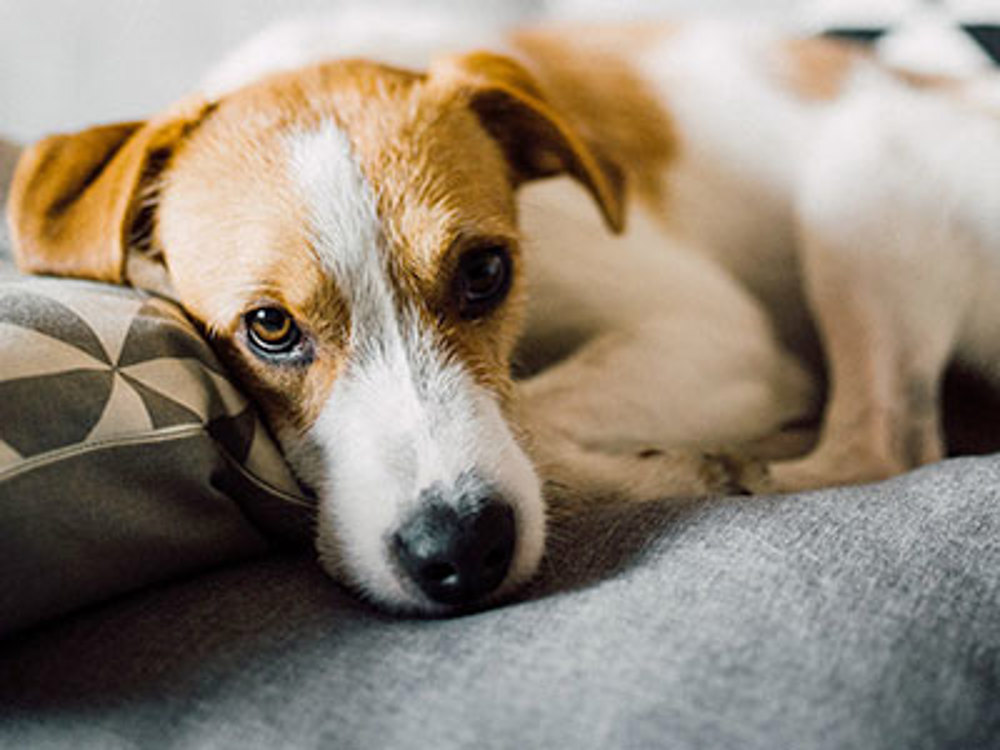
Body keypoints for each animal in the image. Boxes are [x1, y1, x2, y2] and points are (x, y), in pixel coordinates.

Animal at [7, 17, 1000, 616]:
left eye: (485, 272)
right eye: (270, 328)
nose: (462, 553)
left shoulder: (723, 337)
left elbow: (540, 413)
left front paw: (678, 466)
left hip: (858, 177)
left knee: (883, 442)